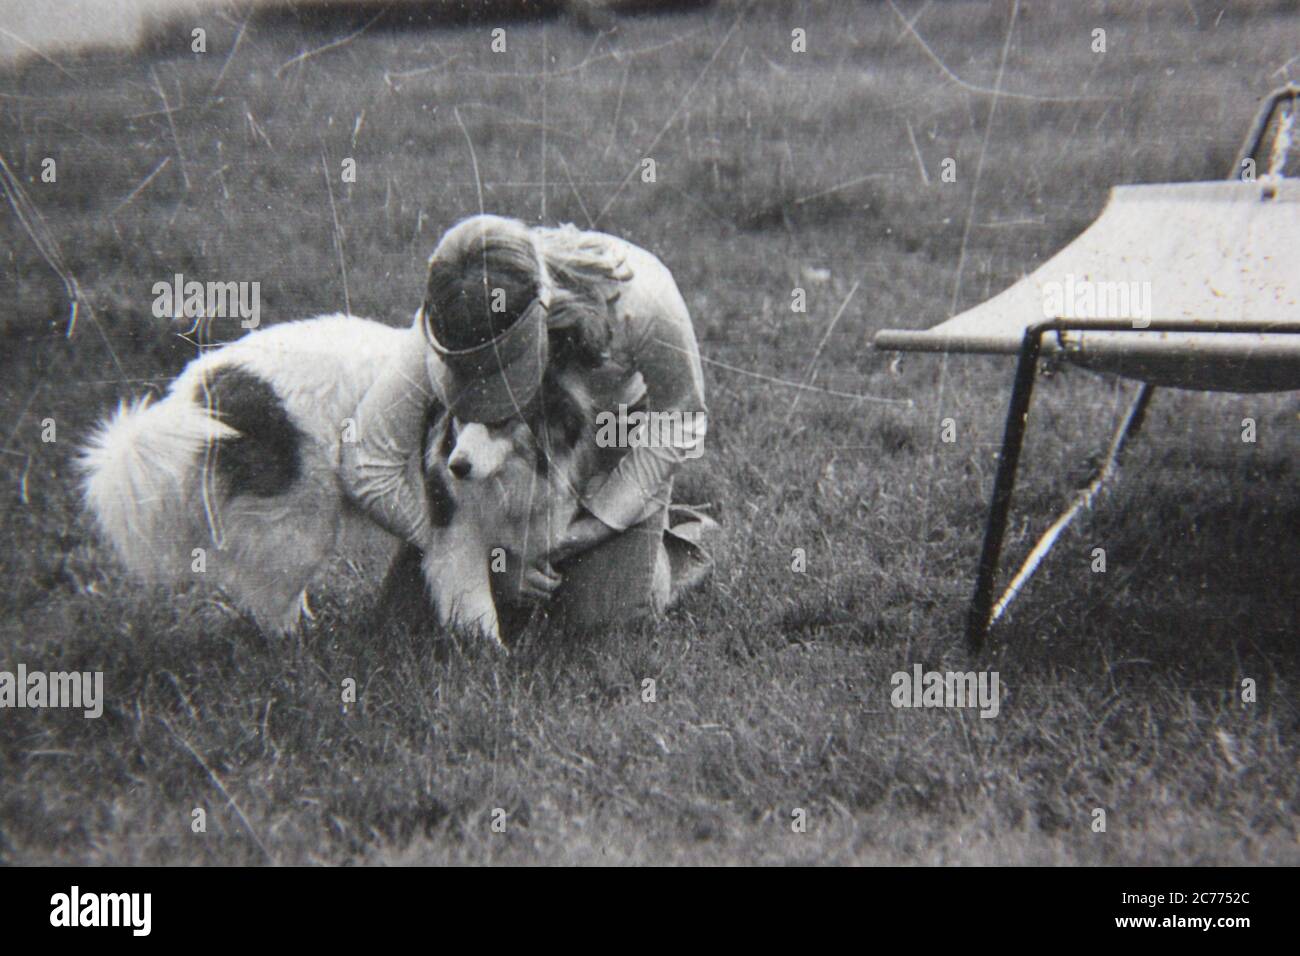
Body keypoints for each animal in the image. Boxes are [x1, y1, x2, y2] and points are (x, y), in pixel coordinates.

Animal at [83, 312, 600, 642]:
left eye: (500, 419)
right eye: (457, 418)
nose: (457, 466)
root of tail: (201, 389)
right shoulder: (456, 532)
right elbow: (475, 603)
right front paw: (492, 657)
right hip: (299, 522)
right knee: (273, 600)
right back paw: (296, 648)